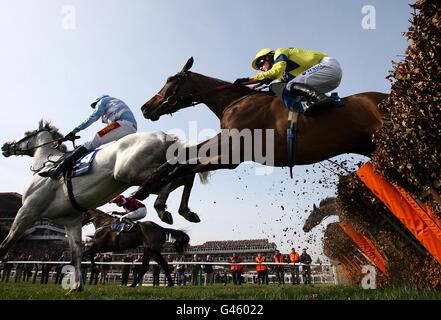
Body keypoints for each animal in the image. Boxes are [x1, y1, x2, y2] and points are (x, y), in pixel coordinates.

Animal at [0, 120, 208, 290]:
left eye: (26, 133)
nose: (6, 146)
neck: (46, 164)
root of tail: (167, 137)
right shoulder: (71, 220)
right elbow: (76, 253)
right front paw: (77, 286)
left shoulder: (28, 211)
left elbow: (6, 244)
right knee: (183, 174)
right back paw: (183, 211)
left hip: (131, 172)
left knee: (172, 176)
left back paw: (160, 206)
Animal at [133, 57, 384, 195]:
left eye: (171, 80)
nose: (146, 107)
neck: (234, 101)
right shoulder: (230, 149)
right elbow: (184, 156)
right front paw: (148, 184)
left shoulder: (234, 148)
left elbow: (185, 165)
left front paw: (148, 191)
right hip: (370, 147)